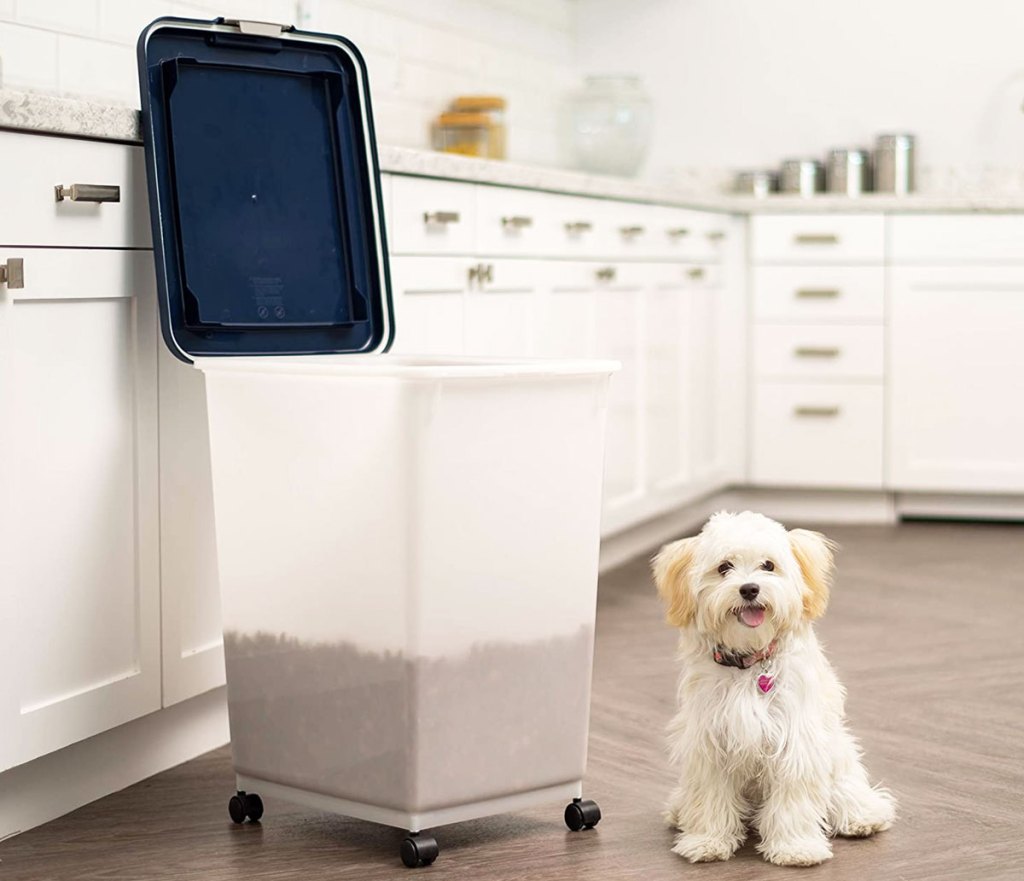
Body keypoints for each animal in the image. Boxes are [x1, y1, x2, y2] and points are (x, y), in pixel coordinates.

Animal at [651, 512, 892, 864]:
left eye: (768, 565)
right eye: (724, 567)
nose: (749, 588)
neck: (750, 662)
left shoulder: (797, 740)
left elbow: (794, 799)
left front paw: (796, 847)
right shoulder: (709, 743)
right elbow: (710, 796)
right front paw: (707, 840)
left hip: (838, 751)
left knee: (847, 787)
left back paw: (863, 815)